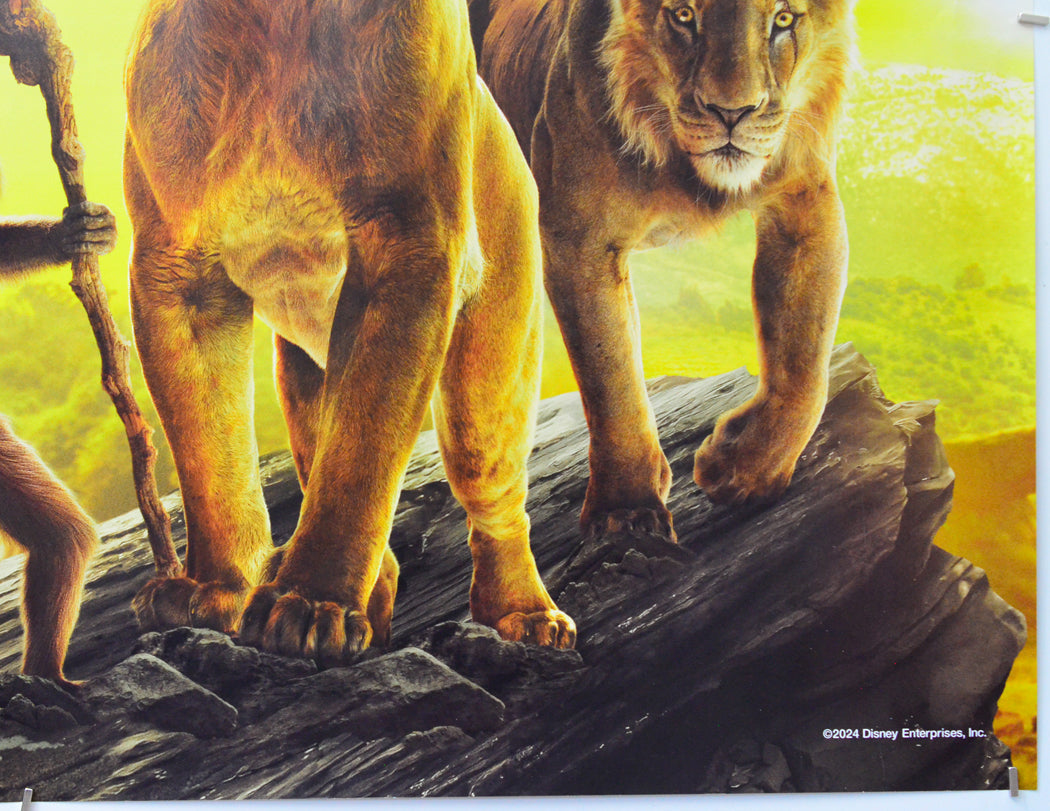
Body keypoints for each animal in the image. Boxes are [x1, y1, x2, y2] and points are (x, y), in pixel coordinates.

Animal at [124, 0, 575, 665]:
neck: (274, 20)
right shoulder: (179, 272)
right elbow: (209, 454)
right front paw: (213, 591)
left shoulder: (410, 247)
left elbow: (361, 448)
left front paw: (310, 606)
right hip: (301, 378)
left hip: (486, 385)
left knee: (494, 501)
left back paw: (527, 617)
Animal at [471, 0, 854, 539]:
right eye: (684, 16)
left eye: (783, 19)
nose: (731, 113)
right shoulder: (577, 238)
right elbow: (611, 380)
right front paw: (625, 512)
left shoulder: (806, 201)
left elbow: (806, 365)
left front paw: (744, 471)